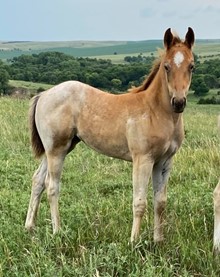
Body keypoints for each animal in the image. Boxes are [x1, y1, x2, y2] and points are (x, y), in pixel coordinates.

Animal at [24, 27, 195, 240]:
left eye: (192, 66)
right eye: (166, 66)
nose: (178, 102)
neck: (155, 111)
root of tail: (44, 94)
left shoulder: (164, 162)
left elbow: (160, 203)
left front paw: (158, 241)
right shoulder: (143, 159)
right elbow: (140, 202)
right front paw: (134, 241)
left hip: (56, 148)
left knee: (38, 180)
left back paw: (30, 226)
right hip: (57, 149)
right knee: (52, 185)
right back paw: (58, 230)